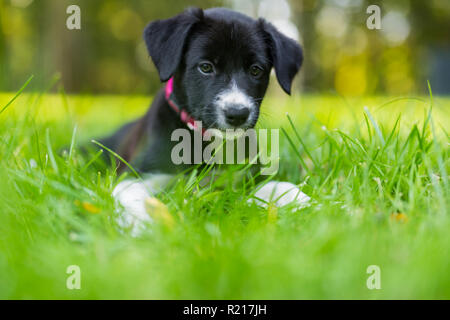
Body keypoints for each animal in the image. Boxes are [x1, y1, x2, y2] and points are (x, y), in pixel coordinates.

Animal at [98, 6, 310, 232]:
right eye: (206, 67)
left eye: (255, 70)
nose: (237, 114)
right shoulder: (136, 174)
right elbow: (133, 197)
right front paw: (141, 226)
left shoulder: (244, 178)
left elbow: (274, 186)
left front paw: (304, 201)